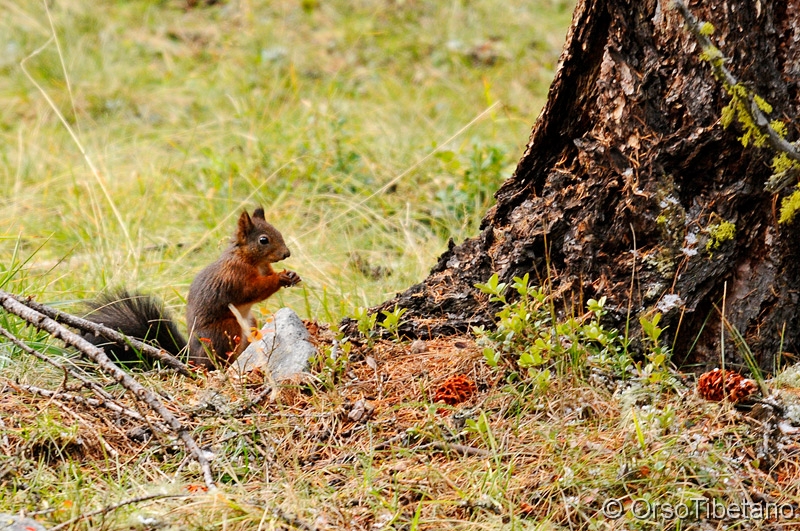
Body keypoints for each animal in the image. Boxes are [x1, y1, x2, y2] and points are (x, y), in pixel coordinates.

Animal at [85, 208, 300, 370]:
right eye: (264, 240)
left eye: (278, 232)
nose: (287, 253)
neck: (253, 260)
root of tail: (192, 360)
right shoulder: (235, 277)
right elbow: (254, 290)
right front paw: (280, 278)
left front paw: (292, 275)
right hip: (225, 331)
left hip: (249, 322)